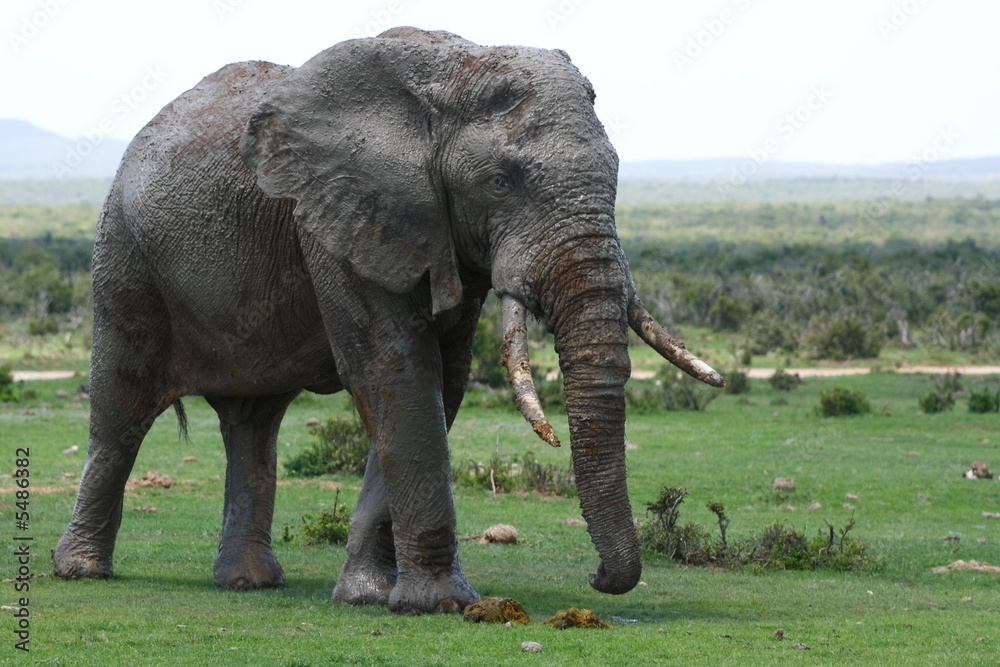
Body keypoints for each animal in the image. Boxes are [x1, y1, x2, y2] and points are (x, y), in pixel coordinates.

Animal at [53, 26, 723, 614]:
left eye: (616, 174)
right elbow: (394, 370)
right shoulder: (339, 216)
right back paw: (80, 571)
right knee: (121, 408)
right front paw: (442, 605)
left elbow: (440, 380)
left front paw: (371, 597)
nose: (598, 578)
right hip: (124, 253)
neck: (454, 72)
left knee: (253, 425)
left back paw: (248, 583)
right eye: (501, 181)